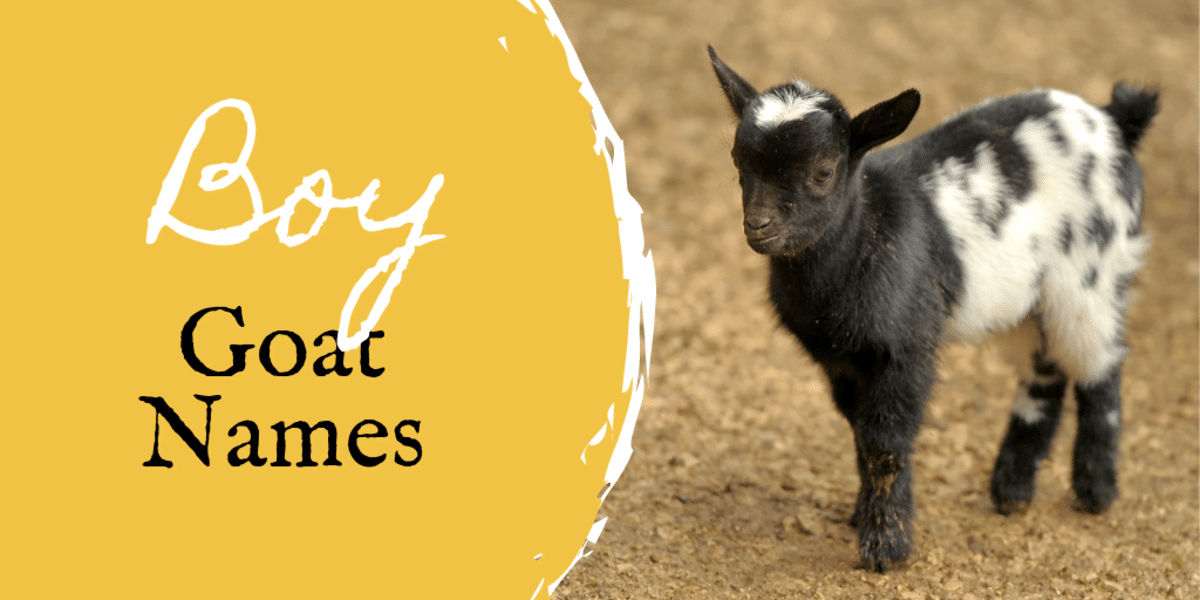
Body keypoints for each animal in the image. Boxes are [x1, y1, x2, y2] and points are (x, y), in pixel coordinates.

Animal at [707, 45, 1158, 572]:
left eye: (822, 171)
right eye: (738, 162)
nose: (758, 225)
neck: (867, 237)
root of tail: (1112, 120)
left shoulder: (908, 347)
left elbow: (885, 442)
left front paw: (886, 547)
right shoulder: (842, 362)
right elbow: (860, 434)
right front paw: (862, 518)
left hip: (1093, 277)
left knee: (1100, 370)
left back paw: (1094, 491)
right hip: (1027, 301)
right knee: (1046, 372)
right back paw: (1012, 491)